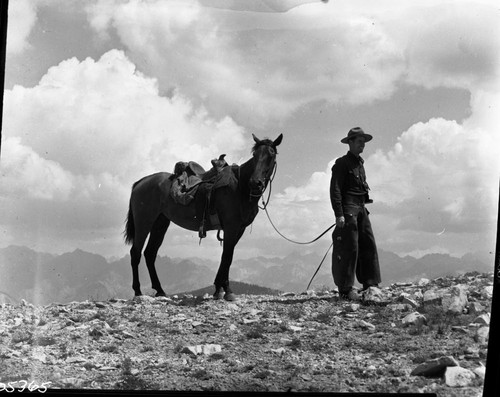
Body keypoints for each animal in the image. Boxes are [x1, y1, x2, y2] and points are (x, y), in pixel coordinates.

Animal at [123, 133, 284, 300]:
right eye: (254, 155)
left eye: (271, 154)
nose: (255, 183)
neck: (240, 187)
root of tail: (140, 182)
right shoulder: (231, 227)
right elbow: (227, 256)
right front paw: (227, 290)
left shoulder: (239, 229)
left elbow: (226, 256)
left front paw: (218, 289)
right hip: (144, 222)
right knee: (136, 252)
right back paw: (138, 291)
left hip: (160, 223)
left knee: (150, 253)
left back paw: (160, 290)